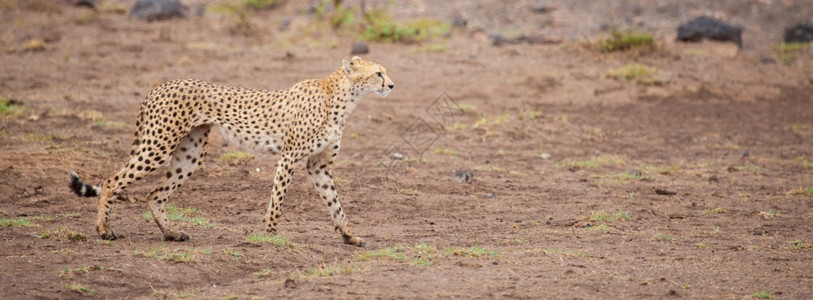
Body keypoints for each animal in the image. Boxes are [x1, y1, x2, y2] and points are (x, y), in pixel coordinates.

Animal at [70, 56, 394, 246]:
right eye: (378, 73)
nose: (391, 85)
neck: (341, 98)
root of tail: (159, 86)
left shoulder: (318, 166)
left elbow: (335, 203)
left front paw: (350, 235)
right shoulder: (289, 157)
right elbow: (278, 200)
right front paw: (271, 236)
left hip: (190, 156)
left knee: (155, 194)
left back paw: (170, 233)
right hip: (158, 147)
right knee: (112, 181)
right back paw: (104, 230)